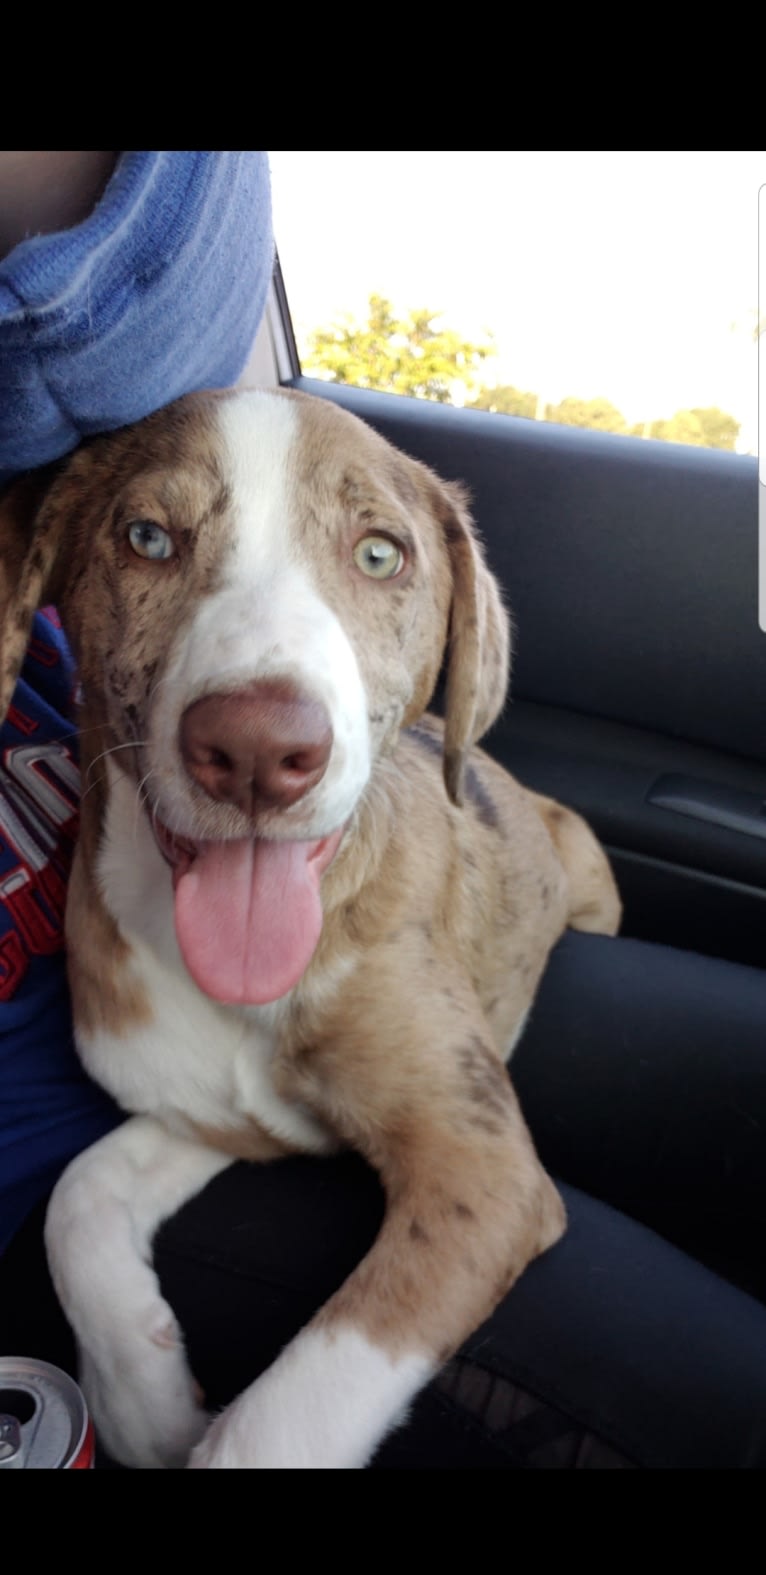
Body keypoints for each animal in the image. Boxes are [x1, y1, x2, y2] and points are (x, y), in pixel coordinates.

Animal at [0, 387, 617, 1467]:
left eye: (379, 554)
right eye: (147, 537)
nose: (256, 751)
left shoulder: (482, 1173)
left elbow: (286, 1416)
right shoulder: (222, 1119)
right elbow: (74, 1197)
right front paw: (142, 1404)